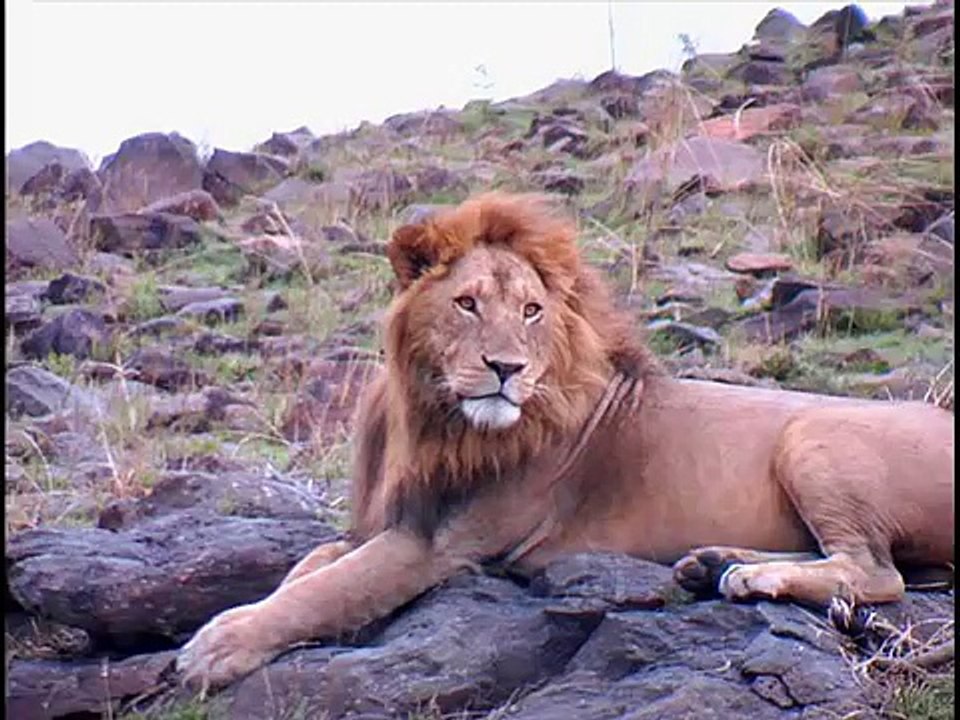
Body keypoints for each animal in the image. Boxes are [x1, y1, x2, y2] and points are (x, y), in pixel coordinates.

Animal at [178, 192, 954, 691]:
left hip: (811, 435)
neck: (428, 415)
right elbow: (308, 568)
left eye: (531, 311)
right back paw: (711, 563)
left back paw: (749, 576)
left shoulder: (442, 545)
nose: (506, 369)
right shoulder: (381, 519)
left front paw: (216, 646)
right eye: (466, 304)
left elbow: (327, 590)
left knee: (875, 571)